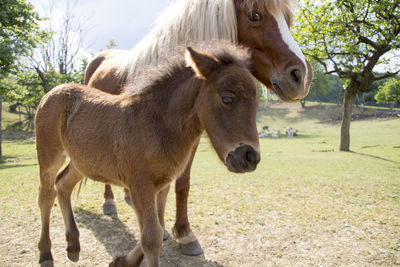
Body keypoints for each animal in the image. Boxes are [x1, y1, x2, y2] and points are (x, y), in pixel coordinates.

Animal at [36, 44, 260, 267]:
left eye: (256, 104)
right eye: (227, 98)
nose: (250, 157)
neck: (157, 124)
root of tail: (53, 92)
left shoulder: (162, 184)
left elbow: (156, 229)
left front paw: (123, 261)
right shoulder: (139, 184)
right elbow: (152, 238)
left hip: (82, 162)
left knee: (63, 184)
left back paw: (73, 244)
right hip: (49, 156)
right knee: (46, 196)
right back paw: (46, 254)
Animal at [84, 0, 312, 256]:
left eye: (288, 20)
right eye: (255, 16)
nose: (302, 76)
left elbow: (182, 184)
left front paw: (184, 234)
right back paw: (109, 202)